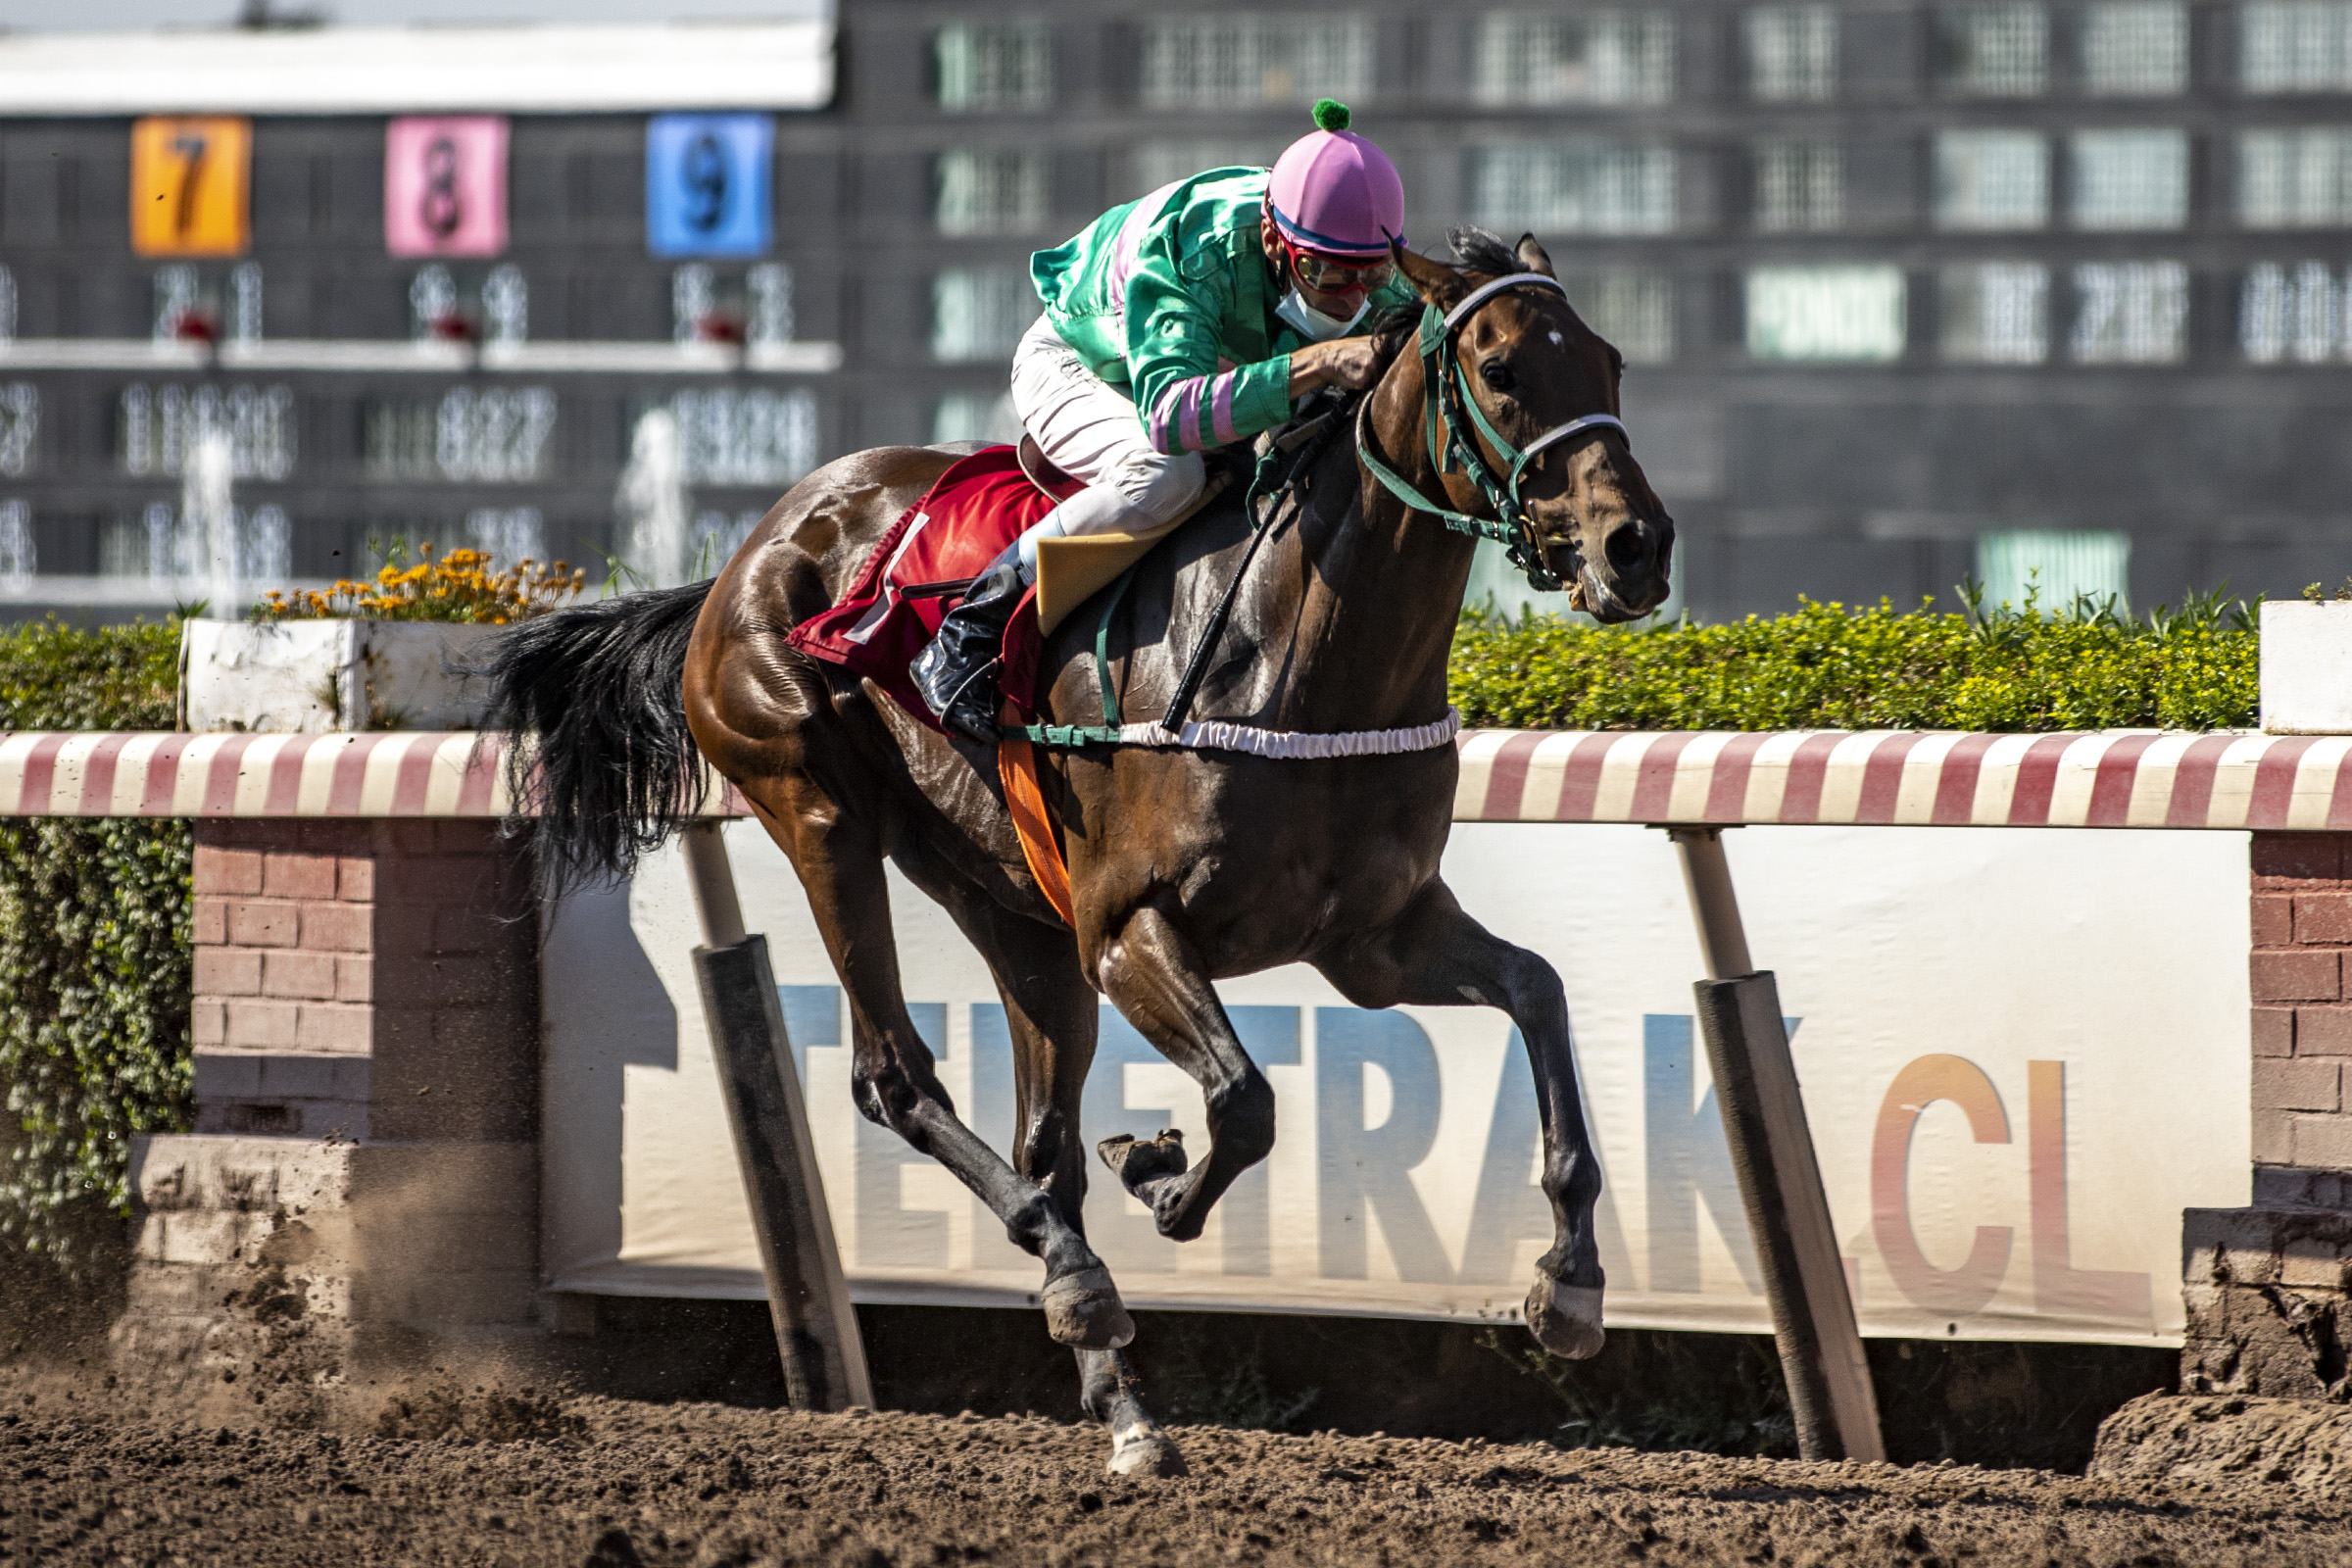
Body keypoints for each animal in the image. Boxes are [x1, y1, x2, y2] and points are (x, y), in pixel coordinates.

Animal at [487, 228, 1675, 1476]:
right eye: (1500, 370)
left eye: (1609, 361)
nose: (1636, 545)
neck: (1299, 653)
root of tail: (749, 552)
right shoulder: (1130, 929)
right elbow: (1245, 1099)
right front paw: (1157, 1177)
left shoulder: (1374, 939)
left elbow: (1537, 991)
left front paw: (1571, 1284)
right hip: (815, 806)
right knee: (894, 1075)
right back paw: (1076, 1275)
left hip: (1010, 904)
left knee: (1039, 1136)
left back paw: (1126, 1405)